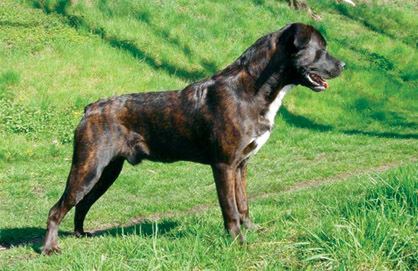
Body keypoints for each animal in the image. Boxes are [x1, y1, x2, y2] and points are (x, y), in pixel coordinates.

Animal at [42, 22, 344, 255]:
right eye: (321, 49)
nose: (343, 64)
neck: (251, 89)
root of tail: (91, 108)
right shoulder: (224, 165)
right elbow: (230, 209)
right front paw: (238, 243)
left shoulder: (241, 166)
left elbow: (243, 204)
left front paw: (252, 231)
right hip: (88, 168)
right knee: (57, 209)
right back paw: (50, 248)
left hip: (107, 172)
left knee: (82, 204)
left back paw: (80, 234)